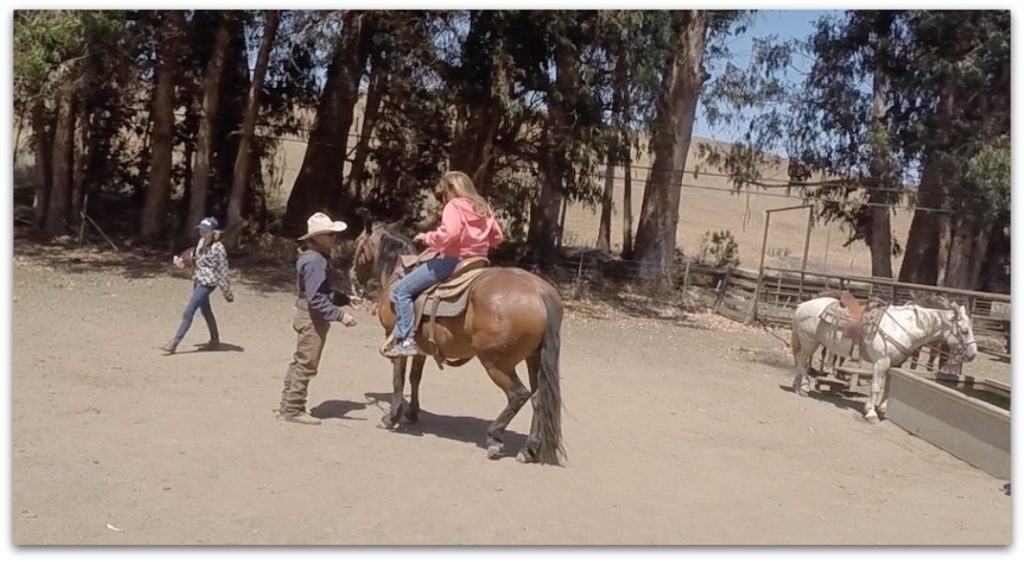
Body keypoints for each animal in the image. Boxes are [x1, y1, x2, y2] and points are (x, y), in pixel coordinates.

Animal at [352, 212, 569, 462]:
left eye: (358, 244)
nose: (353, 277)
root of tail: (539, 291)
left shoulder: (394, 336)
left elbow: (398, 378)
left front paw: (391, 417)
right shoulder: (421, 347)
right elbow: (415, 377)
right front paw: (411, 413)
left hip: (496, 362)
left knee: (518, 395)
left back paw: (494, 438)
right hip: (534, 359)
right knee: (537, 397)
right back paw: (529, 448)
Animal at [786, 292, 978, 421]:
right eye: (964, 330)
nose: (973, 354)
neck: (902, 328)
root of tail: (802, 305)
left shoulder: (895, 364)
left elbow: (888, 388)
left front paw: (884, 410)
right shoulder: (881, 362)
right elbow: (876, 387)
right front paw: (871, 413)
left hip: (812, 342)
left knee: (800, 360)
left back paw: (797, 385)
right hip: (809, 341)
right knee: (802, 361)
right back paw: (804, 387)